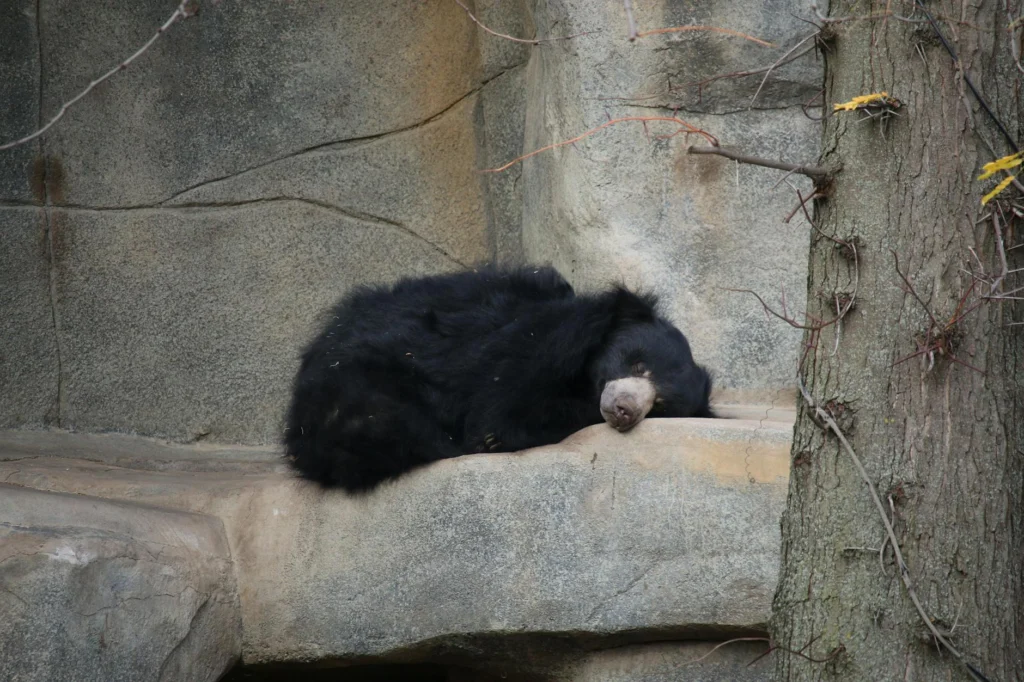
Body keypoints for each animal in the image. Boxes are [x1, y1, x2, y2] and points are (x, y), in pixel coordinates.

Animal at [283, 266, 714, 492]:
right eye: (638, 366)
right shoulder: (530, 345)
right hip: (359, 388)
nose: (624, 410)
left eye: (659, 405)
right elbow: (501, 409)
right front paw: (491, 438)